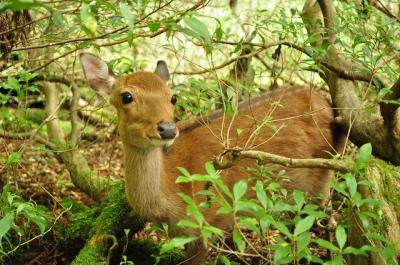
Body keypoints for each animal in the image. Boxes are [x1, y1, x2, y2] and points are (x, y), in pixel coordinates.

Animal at [80, 52, 344, 262]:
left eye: (173, 97)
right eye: (126, 96)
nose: (167, 129)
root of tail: (328, 103)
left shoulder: (204, 227)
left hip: (323, 175)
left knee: (327, 221)